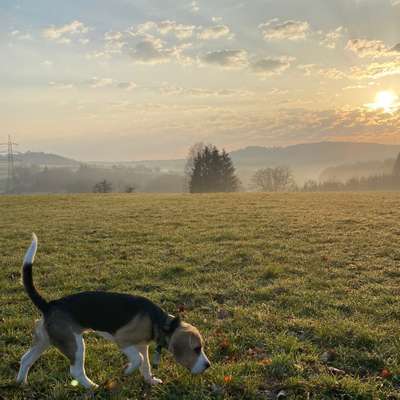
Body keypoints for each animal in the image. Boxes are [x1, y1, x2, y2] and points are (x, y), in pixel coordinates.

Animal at [16, 234, 209, 388]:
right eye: (196, 349)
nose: (208, 366)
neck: (159, 321)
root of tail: (49, 305)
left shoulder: (142, 345)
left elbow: (145, 365)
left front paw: (150, 381)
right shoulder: (122, 341)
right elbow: (138, 360)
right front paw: (128, 370)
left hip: (44, 340)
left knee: (25, 359)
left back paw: (21, 383)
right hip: (75, 344)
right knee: (76, 371)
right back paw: (92, 387)